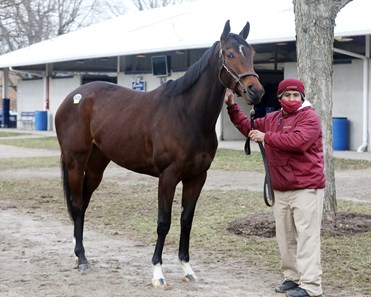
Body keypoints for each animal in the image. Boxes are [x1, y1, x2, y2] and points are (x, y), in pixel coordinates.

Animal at [55, 19, 264, 286]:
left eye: (252, 53)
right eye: (229, 54)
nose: (256, 91)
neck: (187, 115)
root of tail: (74, 97)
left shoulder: (197, 177)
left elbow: (186, 221)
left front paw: (187, 269)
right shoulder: (168, 176)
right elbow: (164, 222)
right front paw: (157, 272)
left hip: (96, 165)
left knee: (83, 203)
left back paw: (77, 254)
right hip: (75, 161)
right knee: (77, 204)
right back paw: (81, 258)